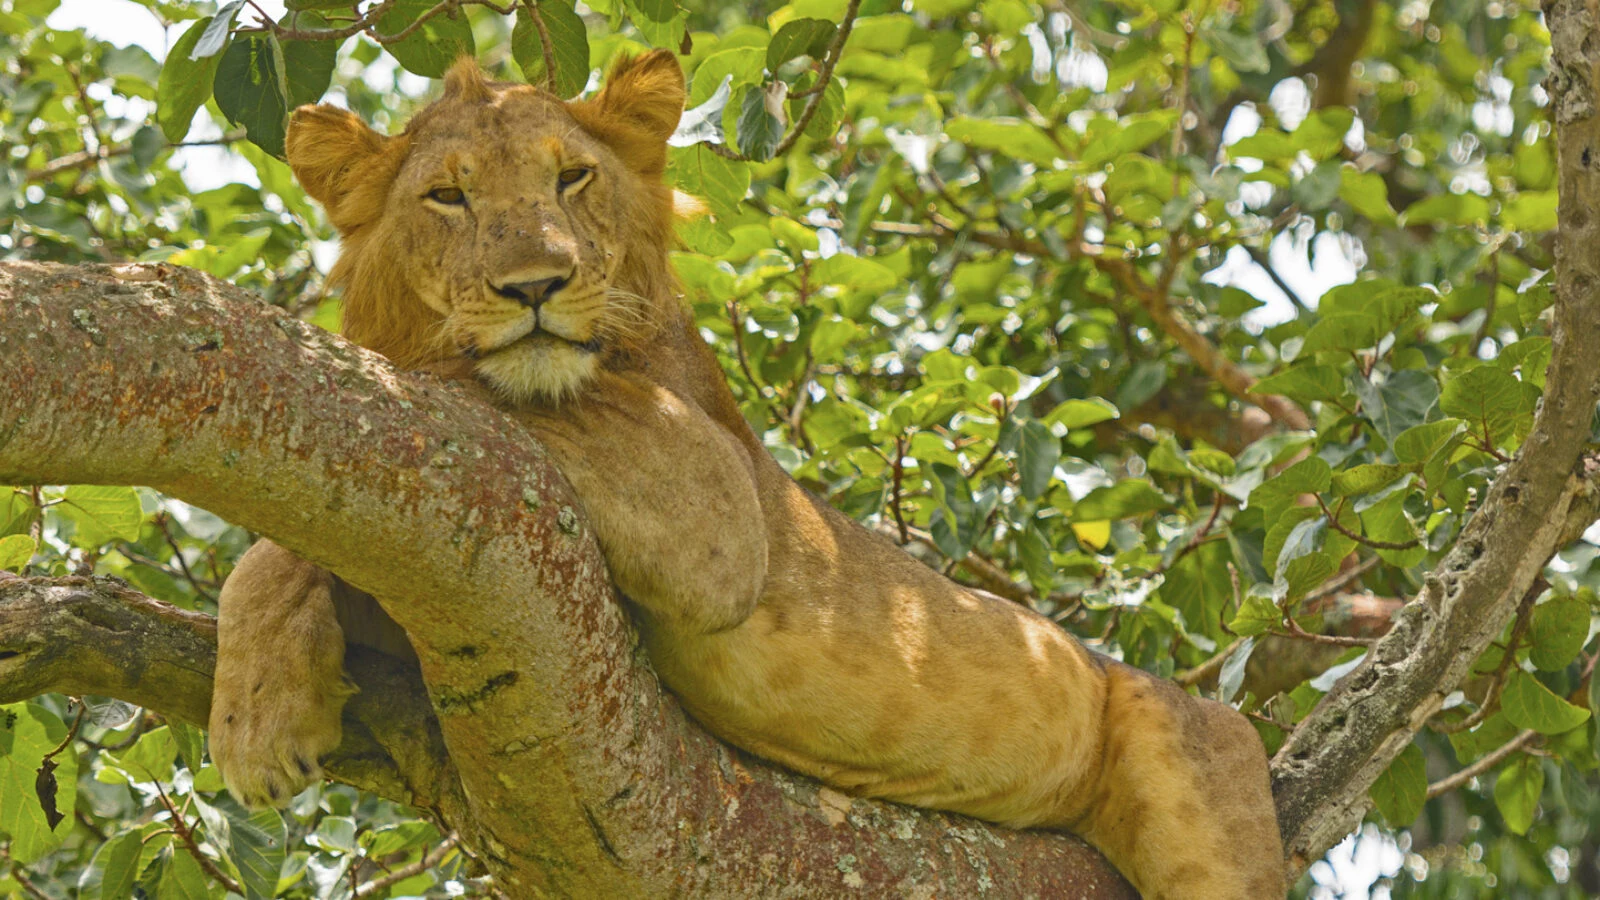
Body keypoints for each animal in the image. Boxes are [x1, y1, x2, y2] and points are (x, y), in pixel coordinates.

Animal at [207, 51, 1286, 898]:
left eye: (572, 179)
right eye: (448, 195)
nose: (536, 287)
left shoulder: (715, 500)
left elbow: (424, 400)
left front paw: (249, 719)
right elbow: (296, 542)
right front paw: (266, 703)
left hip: (1199, 767)